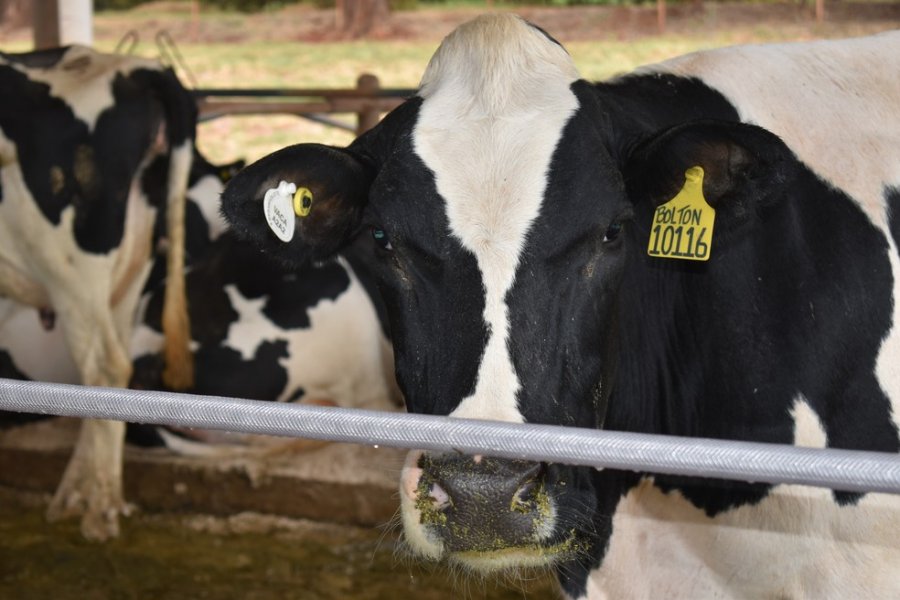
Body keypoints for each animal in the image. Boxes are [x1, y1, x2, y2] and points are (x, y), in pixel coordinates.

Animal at [0, 43, 195, 540]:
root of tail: (132, 68)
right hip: (128, 270)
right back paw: (79, 495)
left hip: (74, 269)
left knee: (105, 366)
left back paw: (99, 511)